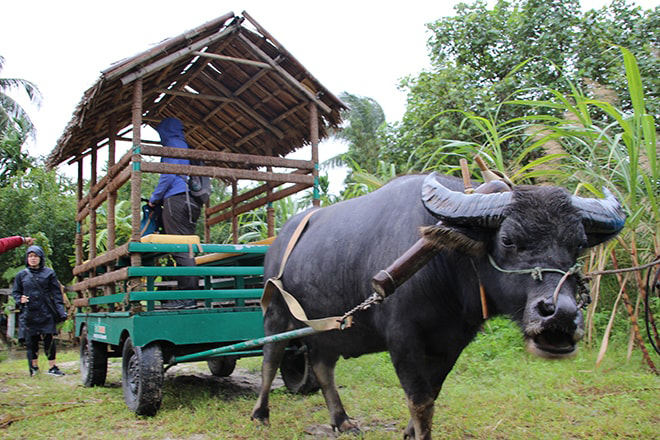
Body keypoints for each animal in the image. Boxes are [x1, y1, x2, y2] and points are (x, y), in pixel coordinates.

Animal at [250, 172, 628, 436]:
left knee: (323, 367)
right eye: (508, 240)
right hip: (276, 314)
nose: (560, 314)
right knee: (271, 360)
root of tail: (275, 243)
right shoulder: (402, 340)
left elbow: (432, 394)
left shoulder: (452, 343)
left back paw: (341, 420)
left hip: (328, 329)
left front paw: (408, 432)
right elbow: (419, 400)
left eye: (578, 245)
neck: (445, 263)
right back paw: (261, 414)